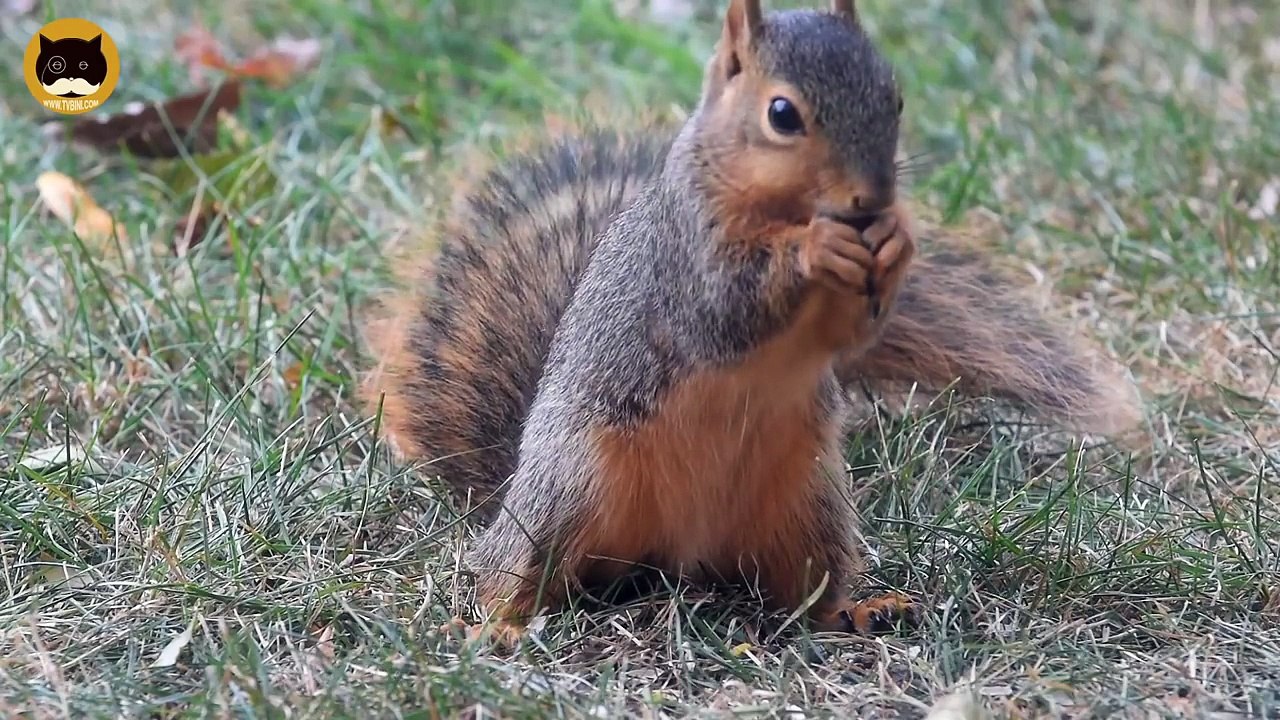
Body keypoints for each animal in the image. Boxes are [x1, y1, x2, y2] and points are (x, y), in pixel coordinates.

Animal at [361, 0, 1142, 646]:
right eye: (782, 114)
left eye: (894, 97)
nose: (871, 199)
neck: (780, 206)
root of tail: (674, 555)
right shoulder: (686, 257)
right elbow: (728, 307)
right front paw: (814, 248)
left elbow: (851, 333)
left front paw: (897, 240)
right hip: (570, 487)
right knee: (511, 566)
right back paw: (497, 623)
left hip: (808, 508)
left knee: (806, 593)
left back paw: (858, 611)